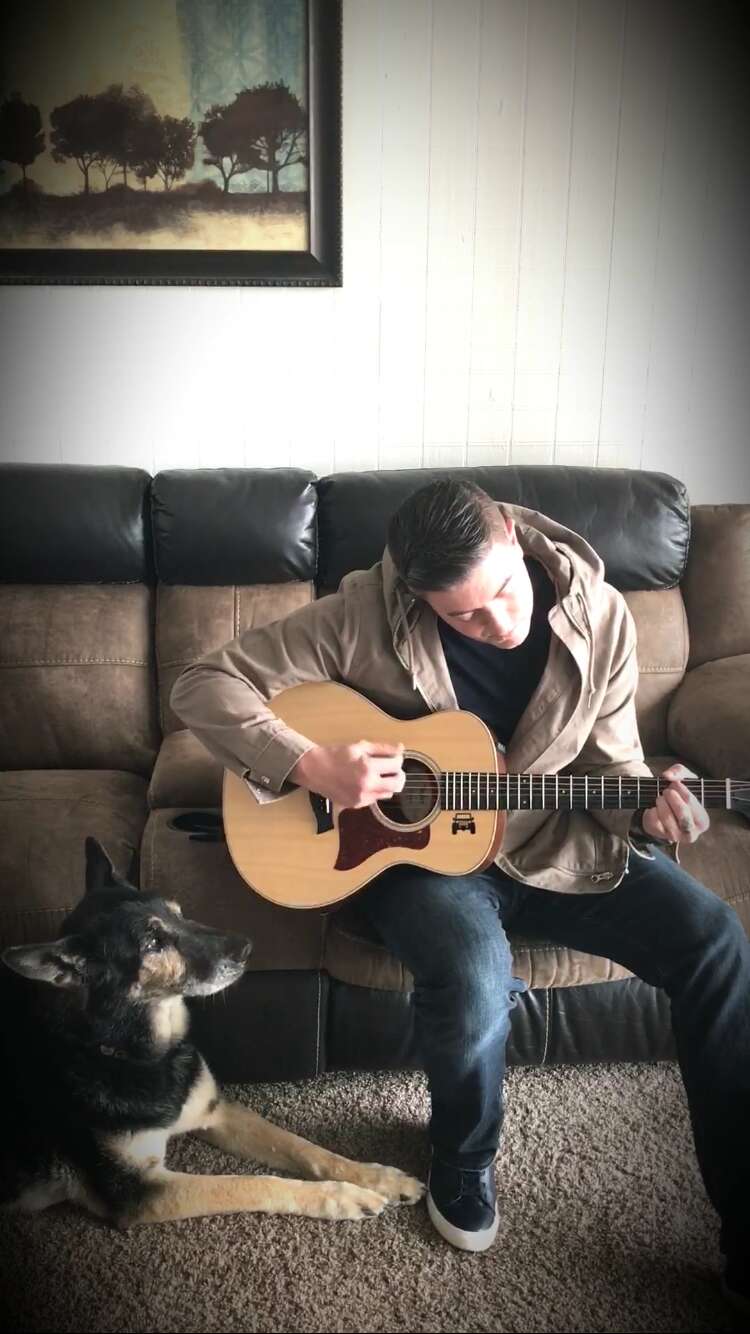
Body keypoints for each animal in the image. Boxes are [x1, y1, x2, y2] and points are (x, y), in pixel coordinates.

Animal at [0, 843, 421, 1227]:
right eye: (153, 943)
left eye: (179, 912)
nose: (247, 948)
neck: (140, 1054)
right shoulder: (139, 1192)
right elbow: (251, 1183)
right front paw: (341, 1197)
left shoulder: (216, 1112)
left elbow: (306, 1148)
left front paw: (377, 1177)